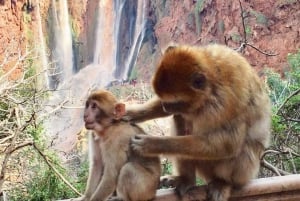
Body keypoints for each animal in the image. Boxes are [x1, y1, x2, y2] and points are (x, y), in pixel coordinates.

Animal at [125, 44, 270, 201]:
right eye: (164, 100)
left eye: (175, 102)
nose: (165, 107)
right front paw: (130, 113)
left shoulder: (227, 102)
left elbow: (228, 144)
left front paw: (153, 144)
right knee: (180, 118)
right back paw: (186, 179)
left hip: (242, 173)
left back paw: (224, 182)